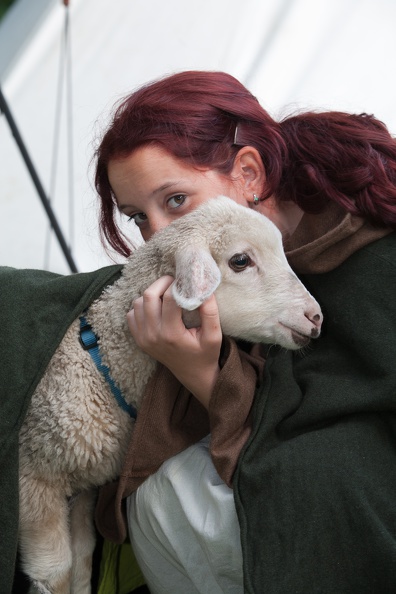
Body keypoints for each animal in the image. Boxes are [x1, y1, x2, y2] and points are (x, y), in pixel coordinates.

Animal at [17, 195, 322, 592]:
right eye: (240, 261)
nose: (315, 317)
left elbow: (83, 563)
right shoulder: (34, 478)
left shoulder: (85, 487)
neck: (99, 366)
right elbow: (57, 573)